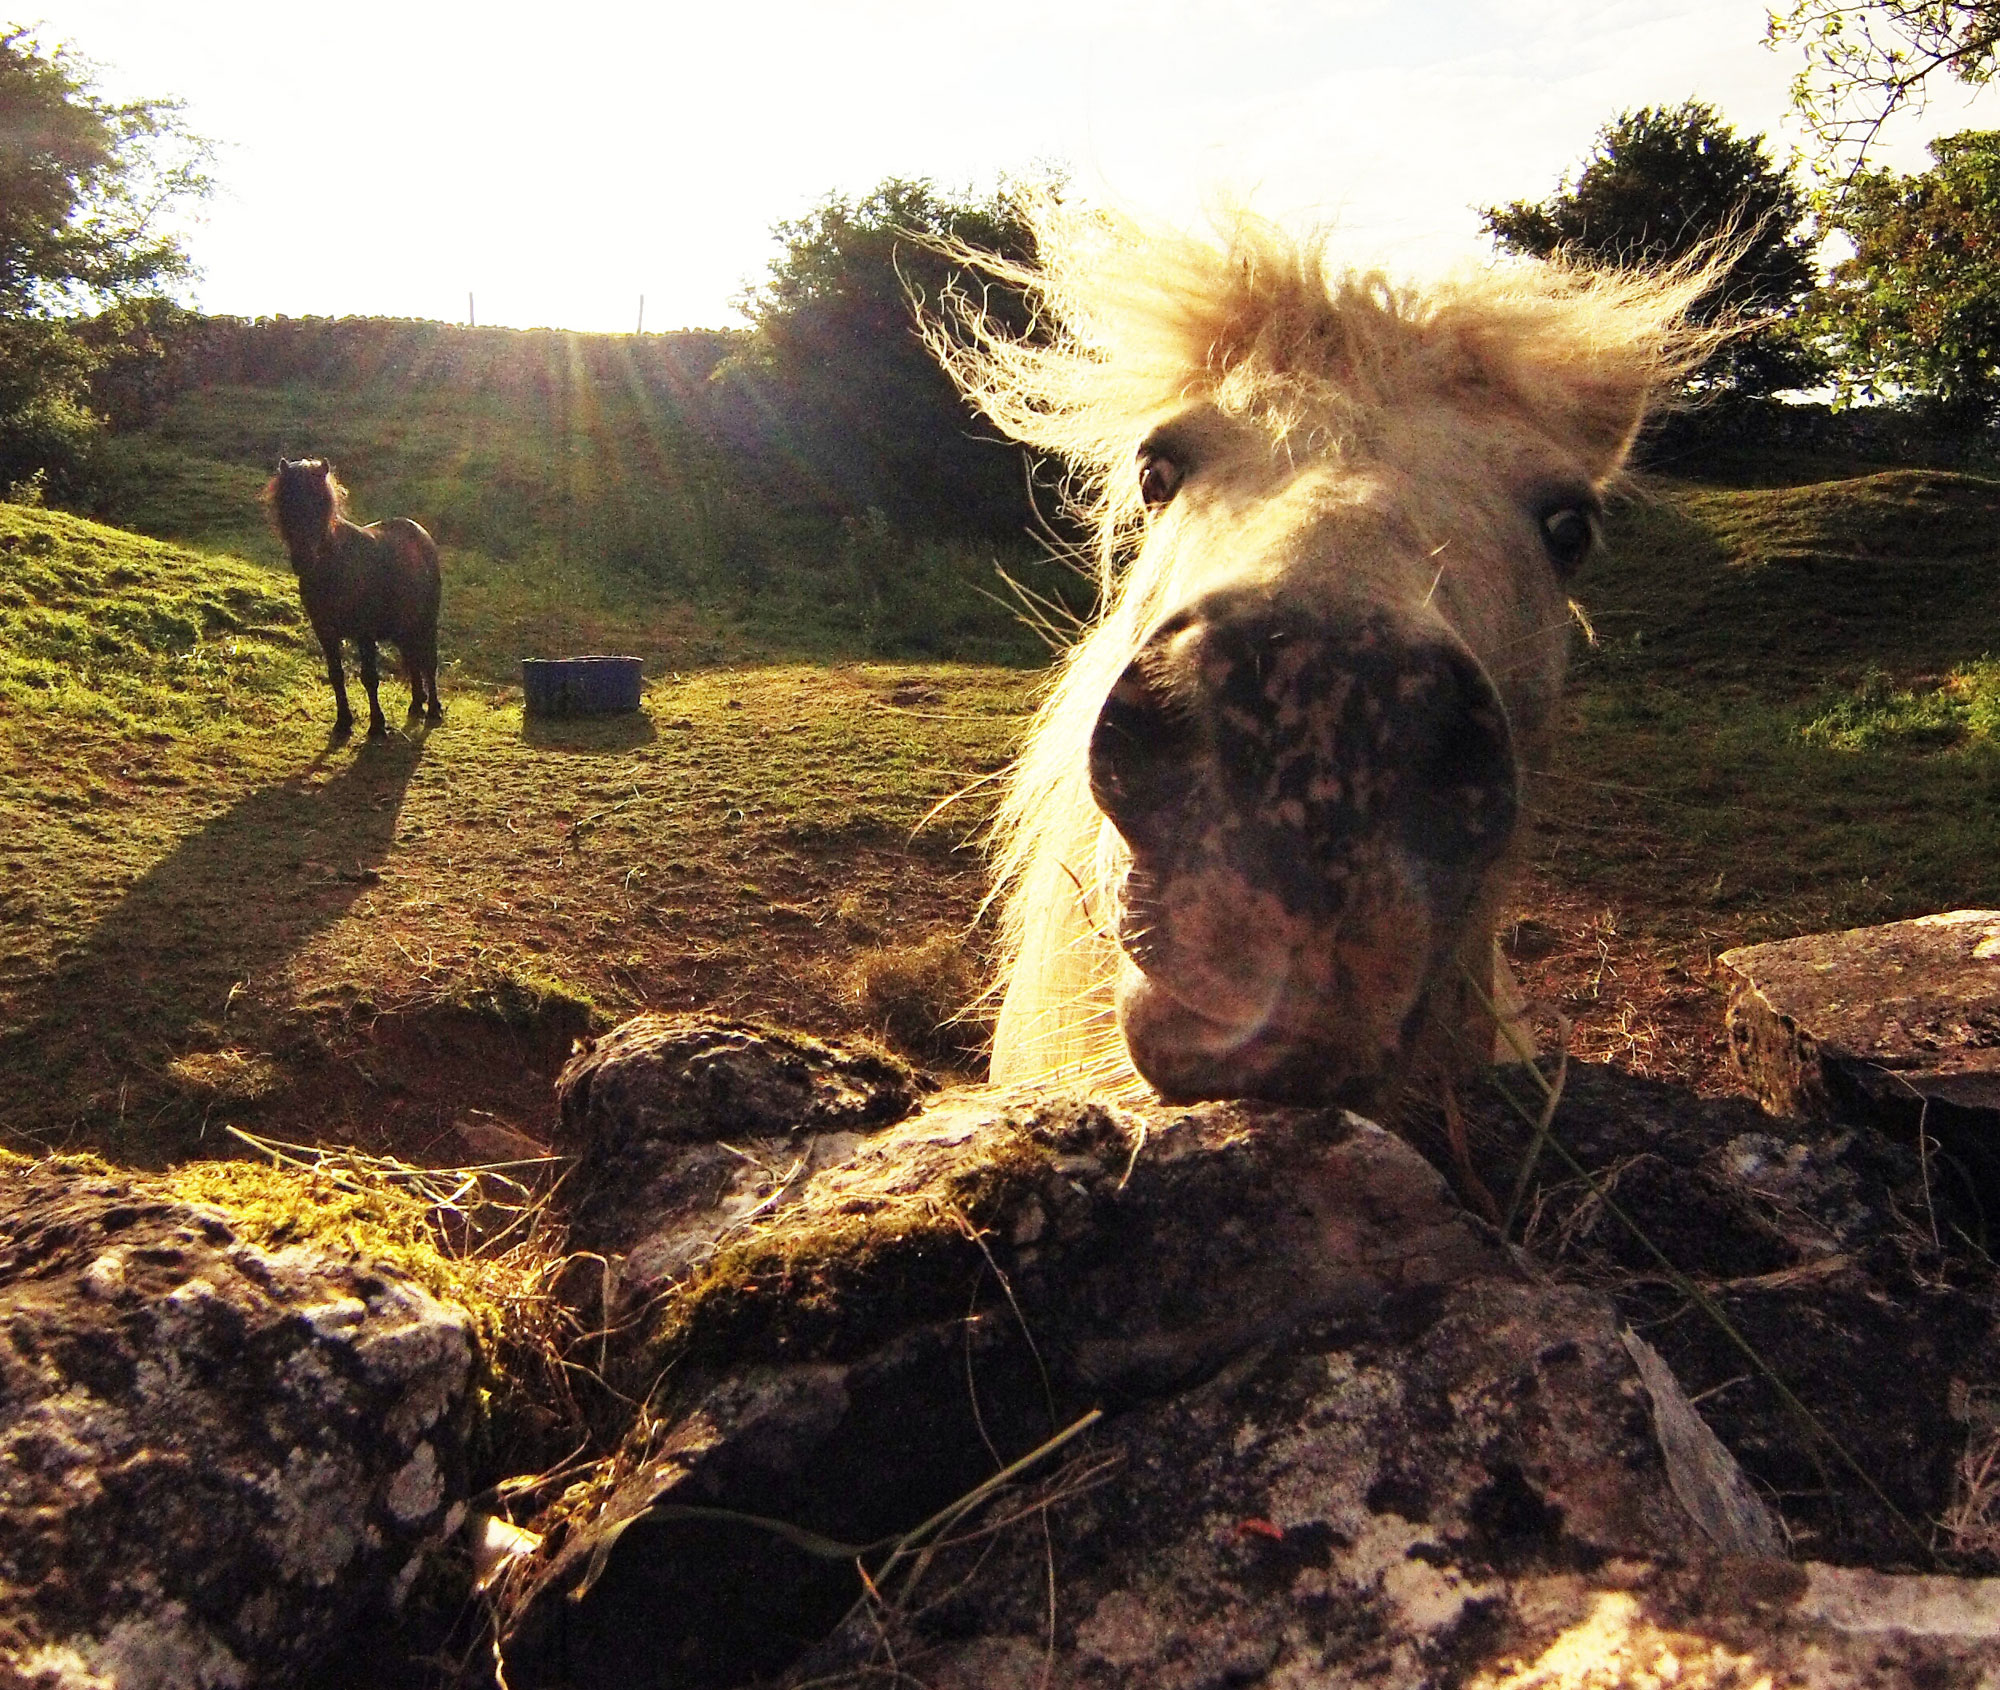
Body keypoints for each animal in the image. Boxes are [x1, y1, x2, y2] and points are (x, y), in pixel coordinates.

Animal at [264, 454, 444, 740]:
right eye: (285, 504)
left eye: (322, 504)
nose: (303, 561)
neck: (335, 567)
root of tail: (420, 532)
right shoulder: (325, 632)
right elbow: (336, 674)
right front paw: (343, 722)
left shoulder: (364, 633)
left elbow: (369, 677)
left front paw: (377, 725)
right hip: (403, 628)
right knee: (412, 661)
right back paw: (417, 704)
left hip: (425, 622)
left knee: (428, 661)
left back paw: (434, 709)